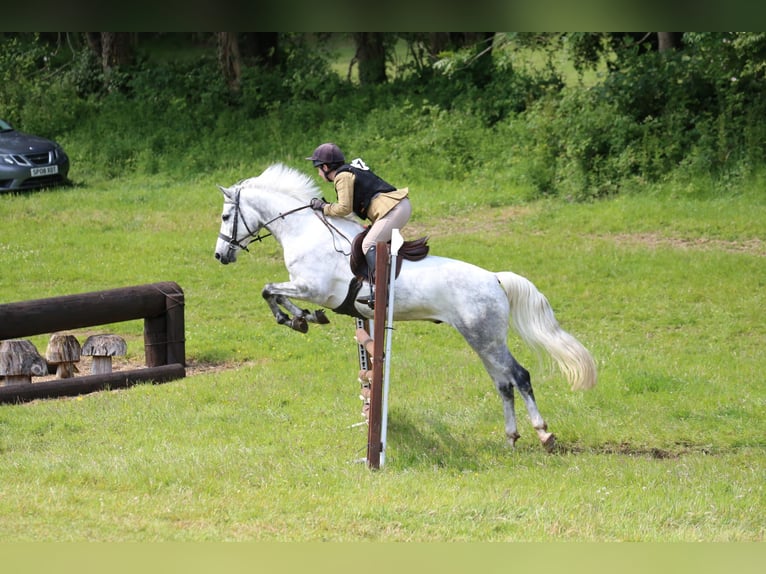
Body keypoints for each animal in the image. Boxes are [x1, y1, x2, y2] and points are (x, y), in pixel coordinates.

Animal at [214, 163, 597, 450]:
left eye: (225, 217)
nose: (220, 256)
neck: (304, 229)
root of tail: (493, 278)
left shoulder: (313, 287)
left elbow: (269, 291)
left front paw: (298, 319)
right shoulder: (308, 289)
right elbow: (275, 292)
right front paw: (305, 318)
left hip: (485, 336)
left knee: (519, 376)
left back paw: (544, 434)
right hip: (481, 338)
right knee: (503, 382)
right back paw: (511, 437)